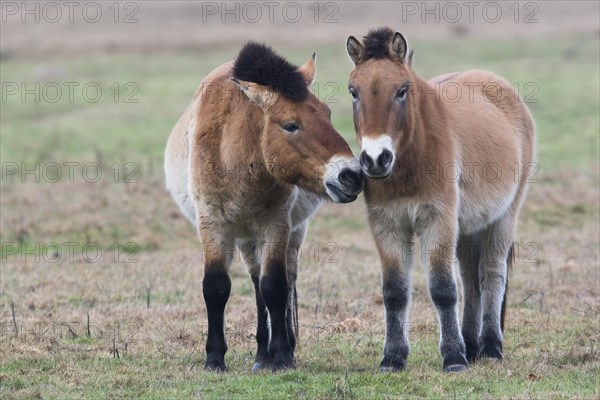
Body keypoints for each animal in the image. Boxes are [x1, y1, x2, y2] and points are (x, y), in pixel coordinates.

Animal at [163, 42, 366, 370]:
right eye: (291, 125)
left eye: (327, 113)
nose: (352, 175)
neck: (235, 155)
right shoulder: (212, 225)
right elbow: (216, 287)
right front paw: (214, 359)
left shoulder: (277, 225)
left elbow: (276, 286)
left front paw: (283, 355)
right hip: (246, 238)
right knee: (256, 281)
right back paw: (261, 355)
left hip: (289, 233)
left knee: (281, 280)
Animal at [344, 27, 536, 372]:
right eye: (354, 91)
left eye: (402, 90)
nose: (376, 159)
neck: (410, 160)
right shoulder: (387, 225)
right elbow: (394, 292)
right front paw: (392, 358)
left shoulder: (438, 220)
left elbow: (443, 289)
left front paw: (453, 358)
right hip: (469, 227)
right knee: (471, 280)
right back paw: (472, 345)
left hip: (503, 218)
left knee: (491, 274)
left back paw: (490, 347)